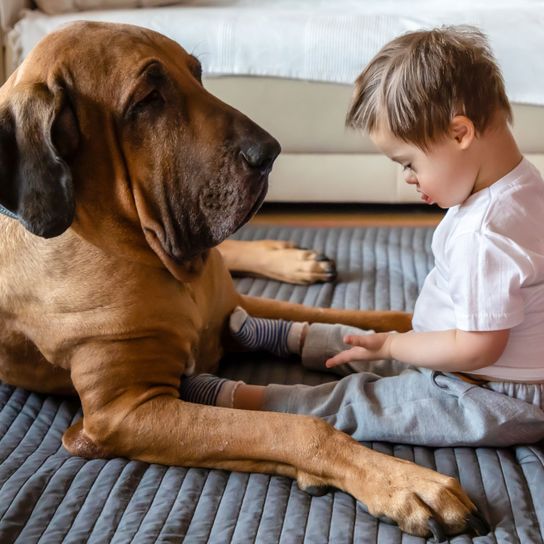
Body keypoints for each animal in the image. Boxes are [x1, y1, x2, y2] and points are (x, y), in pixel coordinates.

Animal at [0, 22, 484, 540]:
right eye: (147, 100)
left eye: (197, 73)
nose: (270, 152)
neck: (156, 259)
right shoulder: (126, 412)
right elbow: (289, 427)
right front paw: (405, 483)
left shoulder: (231, 308)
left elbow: (355, 316)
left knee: (231, 254)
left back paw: (294, 259)